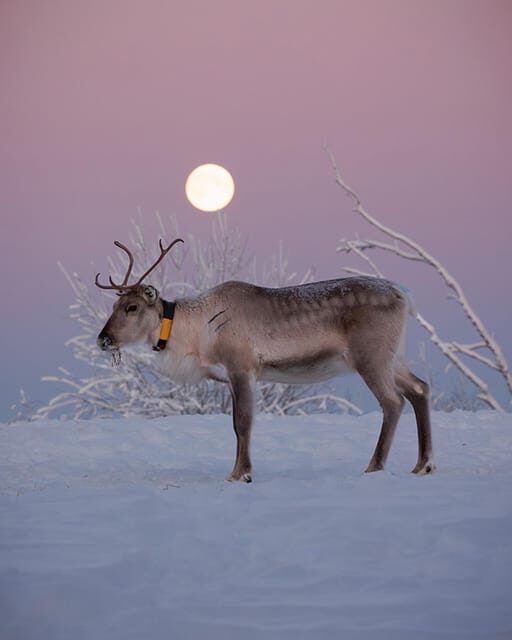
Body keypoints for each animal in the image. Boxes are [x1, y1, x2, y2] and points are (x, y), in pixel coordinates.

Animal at [96, 238, 435, 483]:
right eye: (113, 304)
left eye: (132, 307)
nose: (103, 339)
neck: (196, 336)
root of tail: (404, 295)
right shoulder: (229, 375)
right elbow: (235, 424)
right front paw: (239, 470)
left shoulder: (242, 367)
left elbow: (244, 422)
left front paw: (240, 473)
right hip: (393, 357)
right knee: (420, 388)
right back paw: (423, 464)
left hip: (371, 357)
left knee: (393, 402)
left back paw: (374, 467)